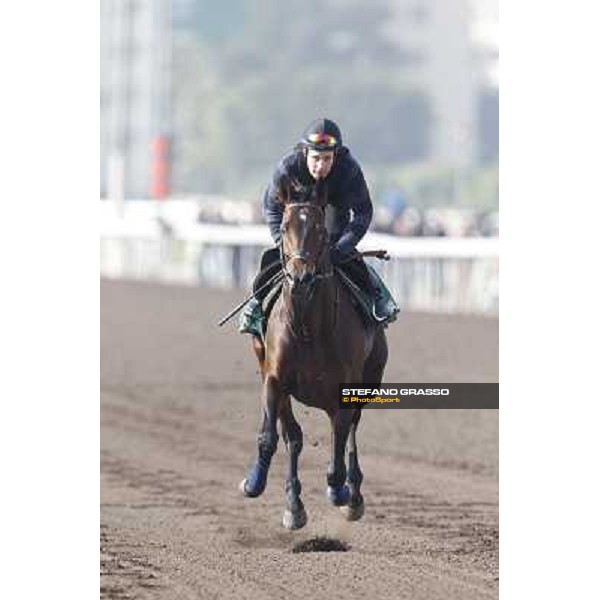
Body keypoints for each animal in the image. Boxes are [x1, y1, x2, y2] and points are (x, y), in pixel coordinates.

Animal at [237, 178, 386, 528]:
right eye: (285, 226)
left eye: (319, 228)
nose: (301, 276)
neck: (308, 328)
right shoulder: (274, 379)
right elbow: (274, 437)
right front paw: (257, 484)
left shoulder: (344, 391)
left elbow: (338, 446)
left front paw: (339, 490)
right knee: (294, 436)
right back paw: (294, 503)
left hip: (369, 382)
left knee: (350, 432)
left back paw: (352, 494)